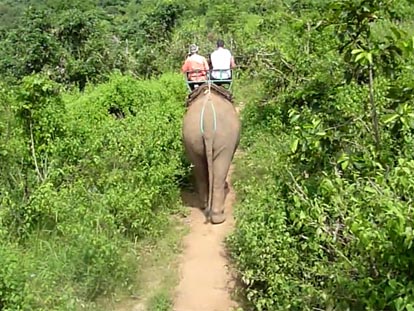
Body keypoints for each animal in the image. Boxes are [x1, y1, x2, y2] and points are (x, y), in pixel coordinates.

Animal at [181, 83, 239, 224]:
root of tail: (207, 124)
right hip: (225, 138)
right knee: (220, 170)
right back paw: (219, 217)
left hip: (191, 137)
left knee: (199, 169)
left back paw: (205, 206)